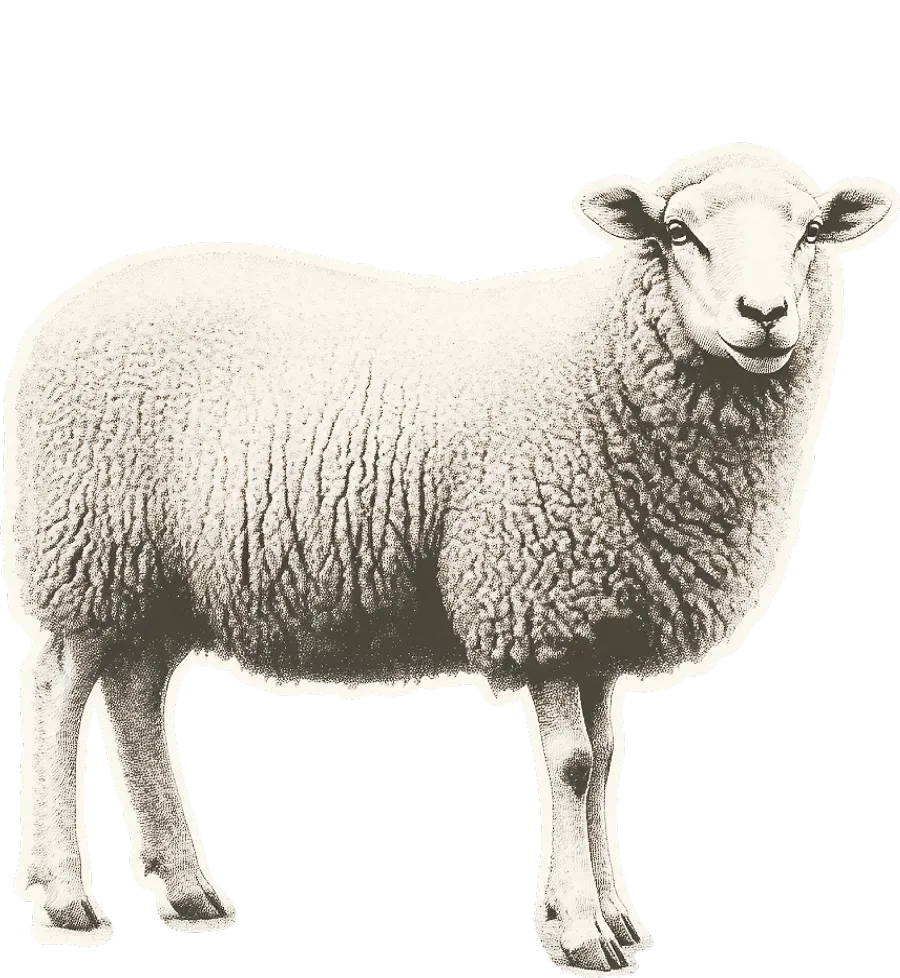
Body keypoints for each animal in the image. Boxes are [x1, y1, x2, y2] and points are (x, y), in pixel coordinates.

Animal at [5, 144, 897, 973]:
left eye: (809, 231)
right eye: (679, 234)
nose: (766, 313)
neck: (604, 360)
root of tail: (68, 303)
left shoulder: (599, 616)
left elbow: (608, 763)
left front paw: (617, 919)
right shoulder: (537, 598)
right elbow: (573, 765)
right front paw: (580, 932)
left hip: (155, 579)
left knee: (135, 696)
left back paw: (189, 891)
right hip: (87, 549)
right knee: (55, 691)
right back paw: (67, 899)